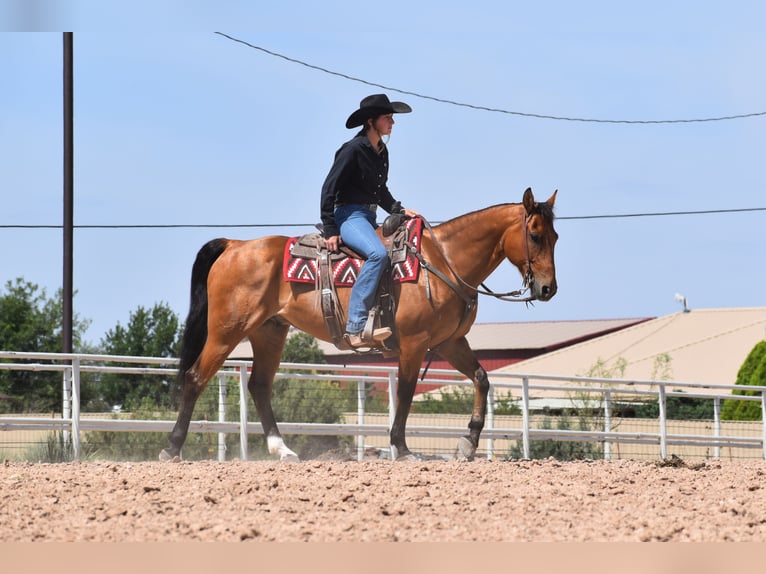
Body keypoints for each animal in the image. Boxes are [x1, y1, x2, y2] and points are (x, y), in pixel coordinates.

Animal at [161, 187, 558, 462]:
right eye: (535, 235)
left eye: (555, 236)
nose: (548, 289)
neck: (442, 260)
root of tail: (234, 245)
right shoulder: (415, 342)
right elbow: (406, 392)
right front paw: (402, 448)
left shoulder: (449, 342)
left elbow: (481, 378)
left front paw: (468, 443)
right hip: (227, 330)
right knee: (195, 378)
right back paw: (172, 448)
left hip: (269, 331)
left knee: (259, 386)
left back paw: (283, 450)